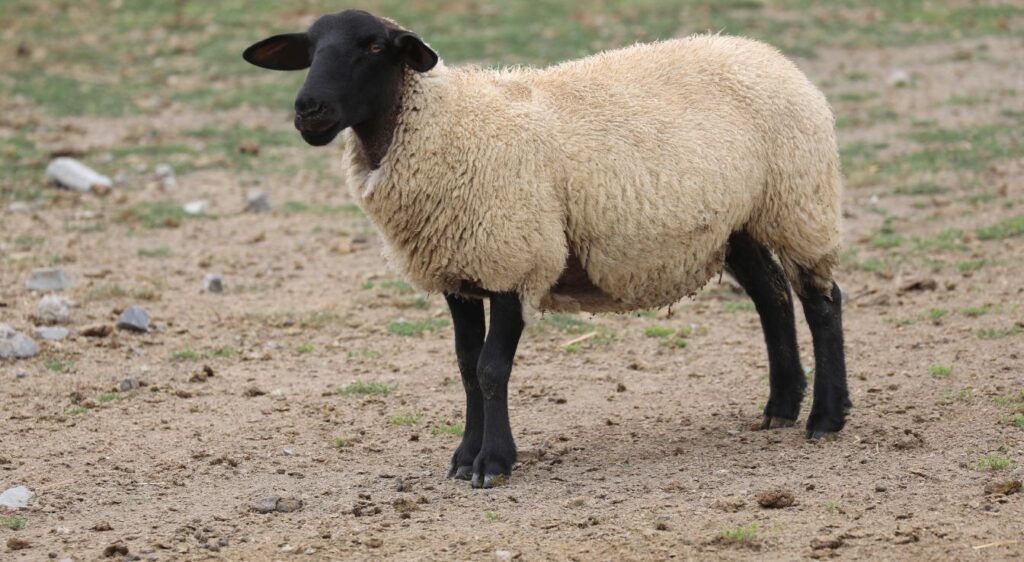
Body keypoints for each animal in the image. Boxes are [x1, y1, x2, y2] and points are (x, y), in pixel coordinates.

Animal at [244, 9, 851, 489]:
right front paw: (464, 458)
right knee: (773, 299)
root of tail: (764, 52)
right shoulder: (458, 272)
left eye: (373, 47)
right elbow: (465, 366)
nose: (309, 110)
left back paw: (825, 417)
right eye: (310, 51)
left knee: (822, 303)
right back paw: (780, 407)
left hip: (798, 202)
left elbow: (492, 368)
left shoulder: (516, 258)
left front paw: (493, 462)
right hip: (738, 222)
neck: (446, 125)